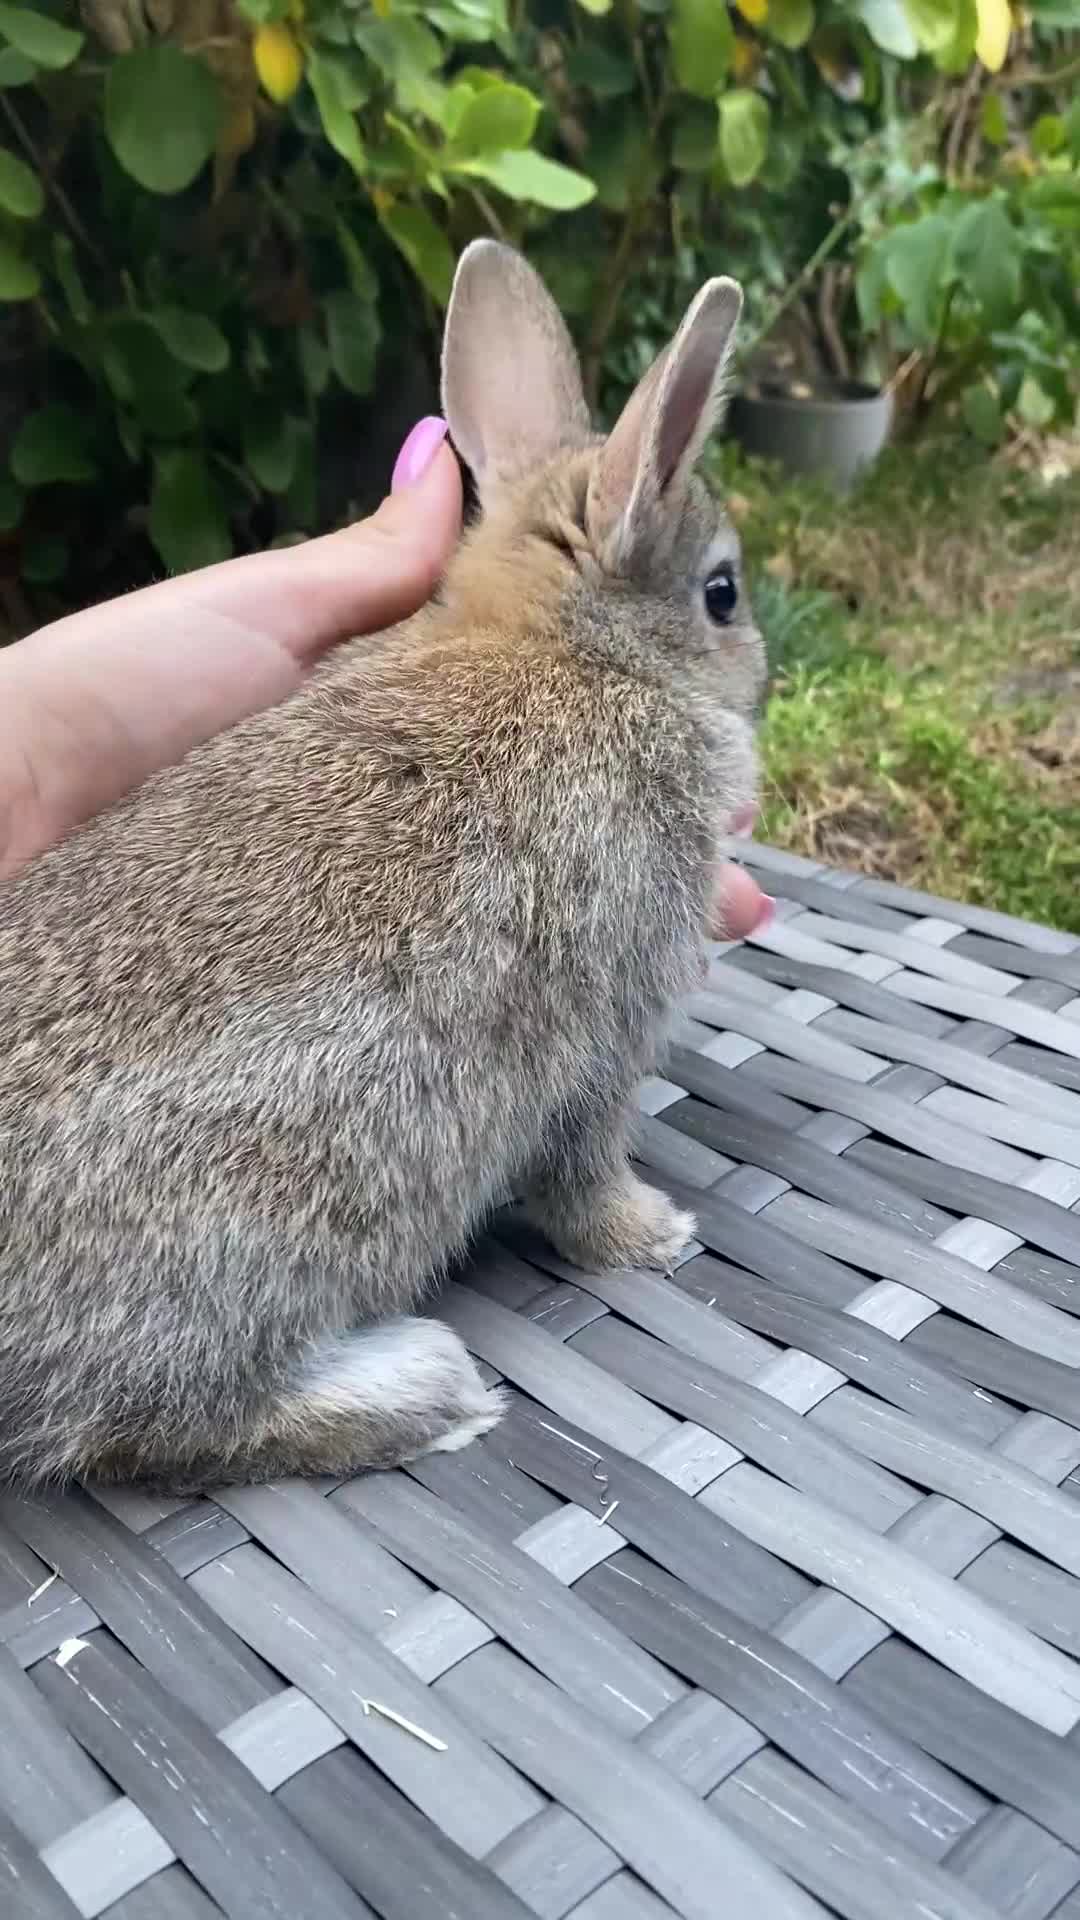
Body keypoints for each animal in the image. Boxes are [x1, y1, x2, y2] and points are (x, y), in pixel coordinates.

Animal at [0, 241, 765, 1493]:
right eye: (722, 593)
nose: (761, 672)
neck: (568, 648)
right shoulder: (608, 1021)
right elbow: (584, 1166)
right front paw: (652, 1235)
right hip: (254, 1235)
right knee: (150, 1426)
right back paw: (429, 1391)